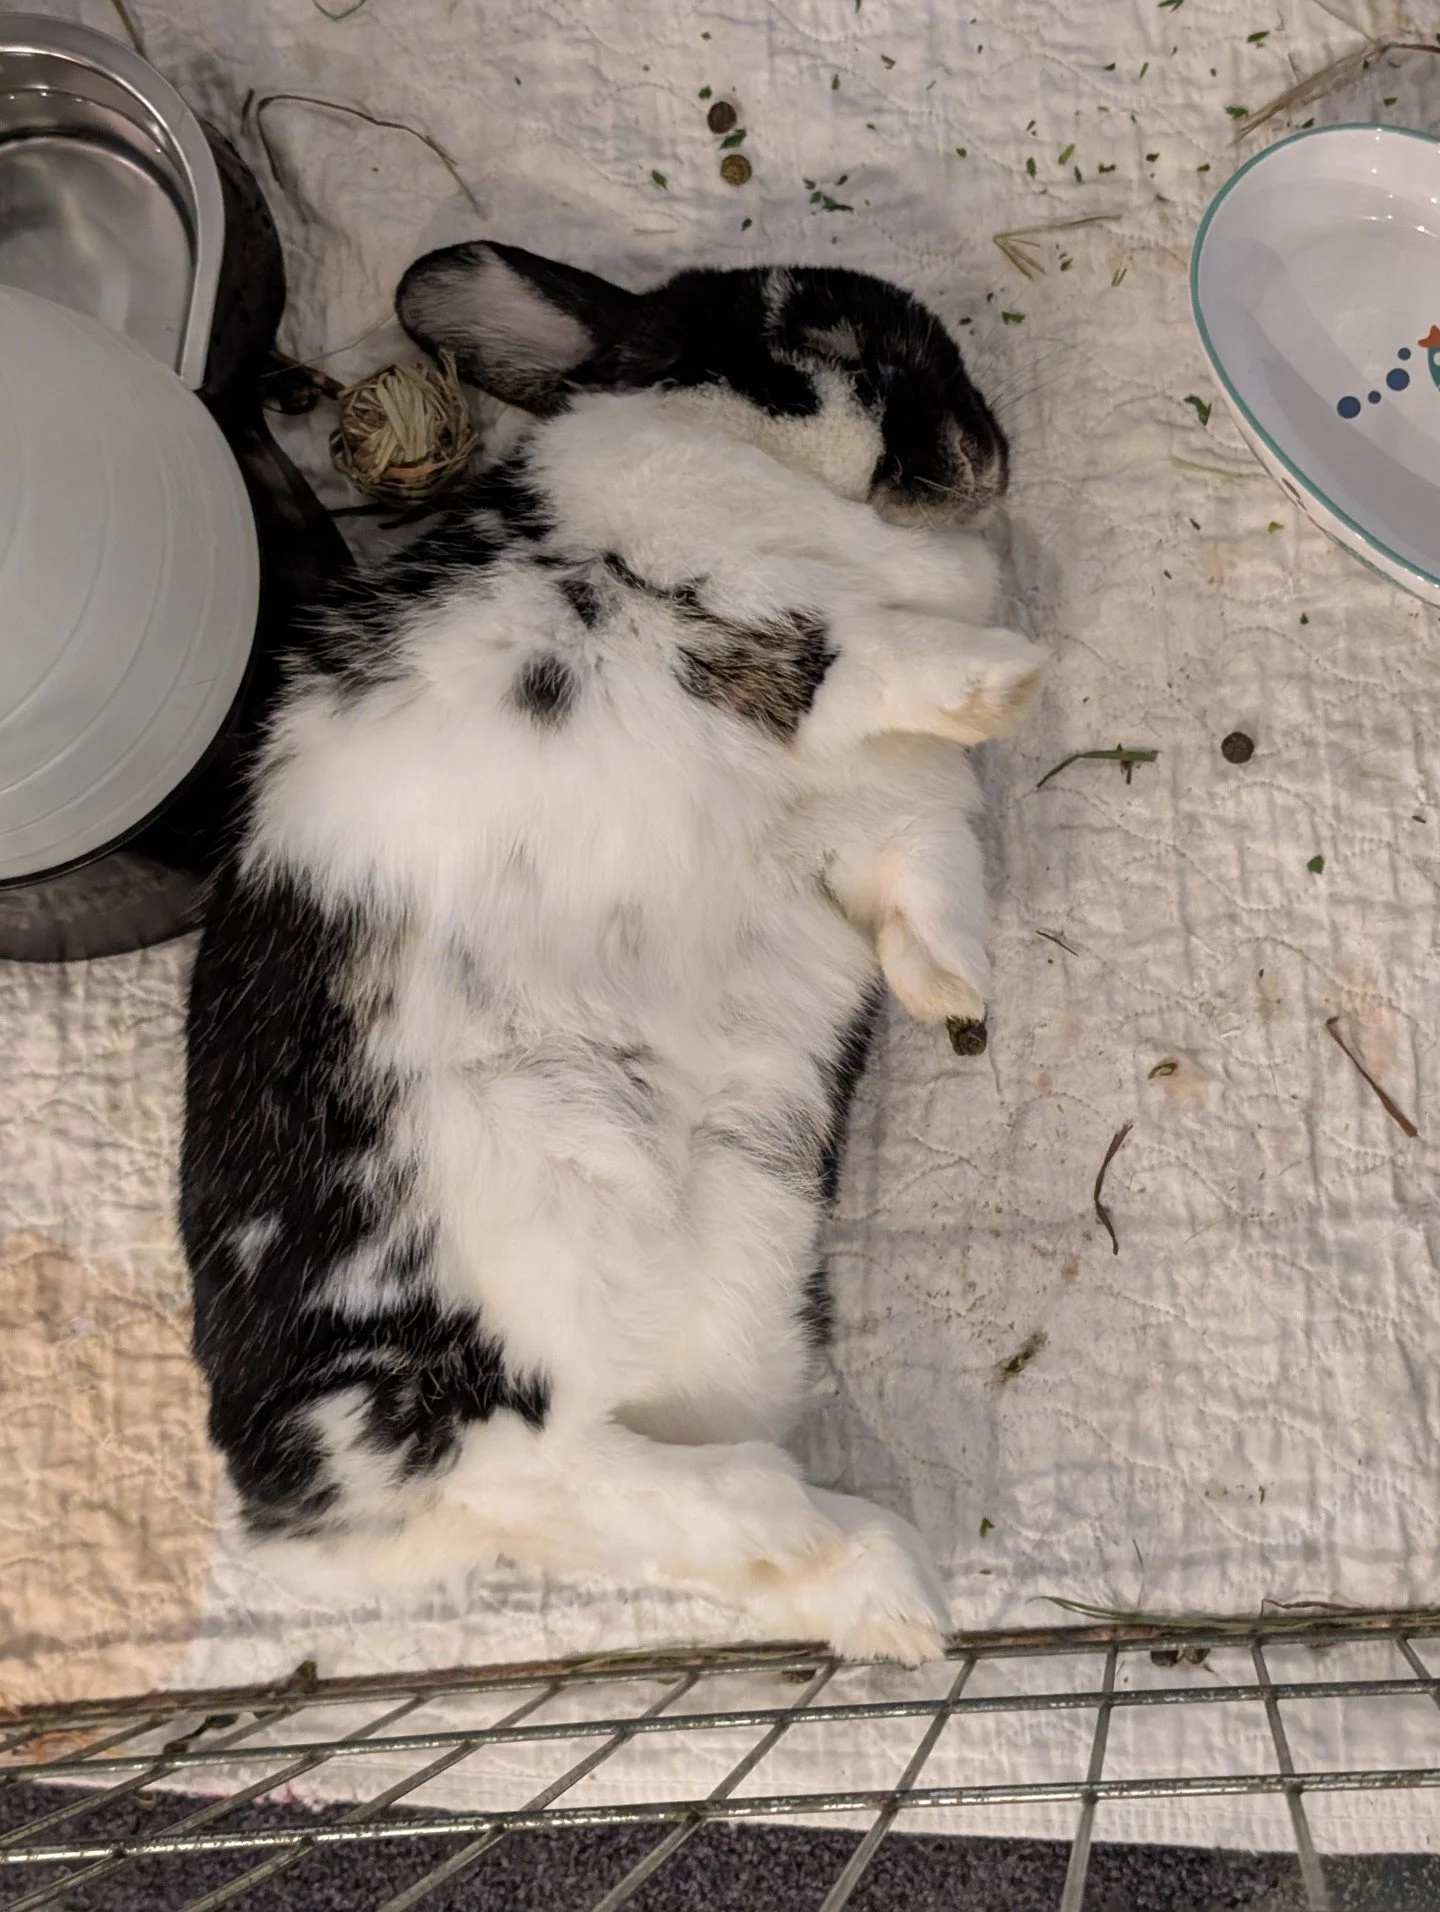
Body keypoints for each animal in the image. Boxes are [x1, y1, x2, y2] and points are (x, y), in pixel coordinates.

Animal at [181, 244, 1045, 1665]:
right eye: (825, 334)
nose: (987, 457)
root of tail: (295, 1504)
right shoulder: (736, 609)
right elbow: (862, 654)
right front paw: (1012, 672)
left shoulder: (887, 825)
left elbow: (928, 889)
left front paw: (956, 1000)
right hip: (443, 1336)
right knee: (534, 1465)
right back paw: (846, 1552)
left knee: (633, 1503)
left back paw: (884, 1595)